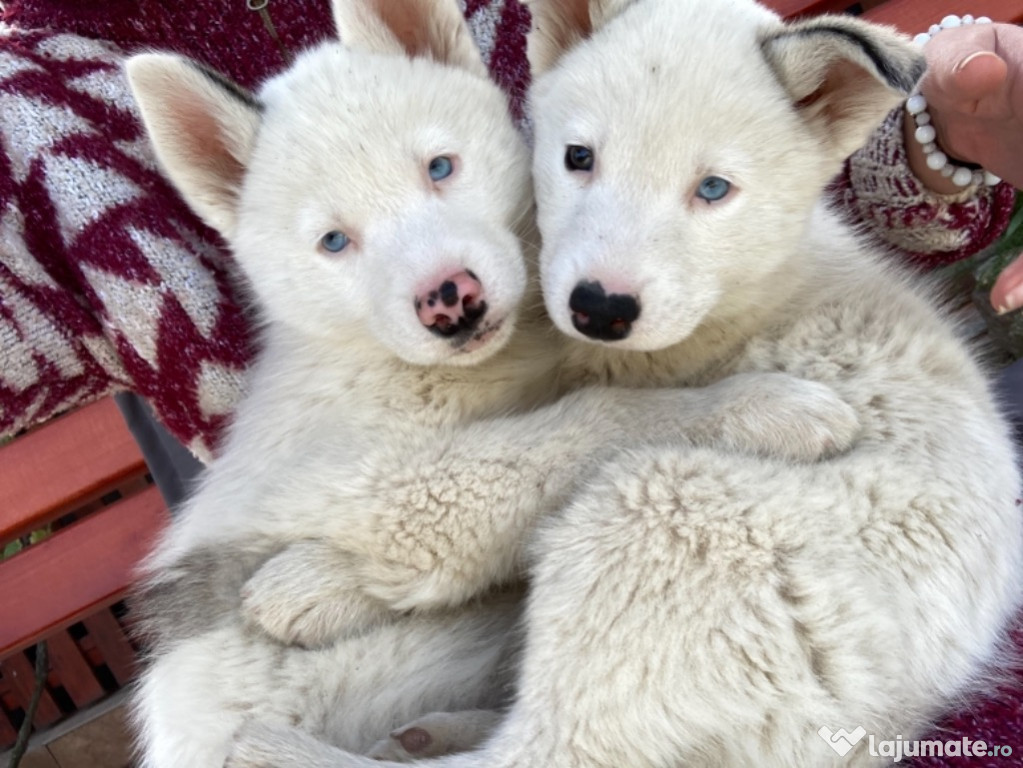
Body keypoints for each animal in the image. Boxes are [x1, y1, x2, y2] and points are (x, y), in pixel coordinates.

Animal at [226, 1, 1023, 768]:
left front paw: (315, 580)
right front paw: (324, 583)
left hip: (656, 510)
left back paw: (271, 750)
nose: (599, 308)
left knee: (545, 752)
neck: (742, 289)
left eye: (713, 189)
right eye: (579, 158)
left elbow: (517, 477)